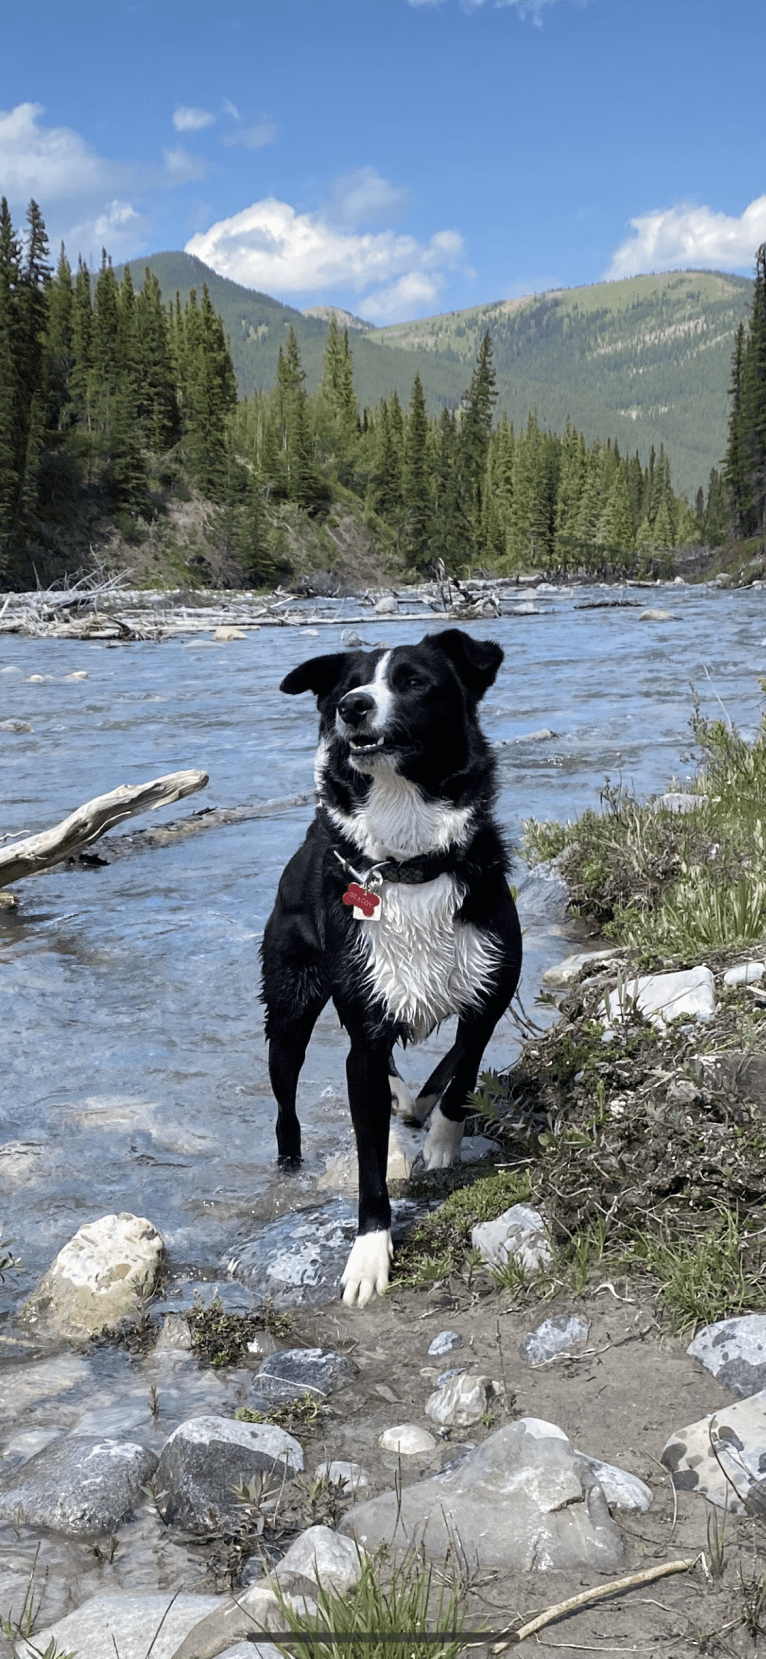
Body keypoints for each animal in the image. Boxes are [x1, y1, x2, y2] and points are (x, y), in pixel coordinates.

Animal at [261, 627, 520, 1300]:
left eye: (412, 681)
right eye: (348, 686)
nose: (352, 707)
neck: (407, 862)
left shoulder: (491, 988)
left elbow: (461, 1071)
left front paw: (443, 1141)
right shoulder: (364, 1037)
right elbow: (370, 1162)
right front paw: (368, 1256)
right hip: (289, 1009)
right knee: (285, 1107)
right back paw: (290, 1165)